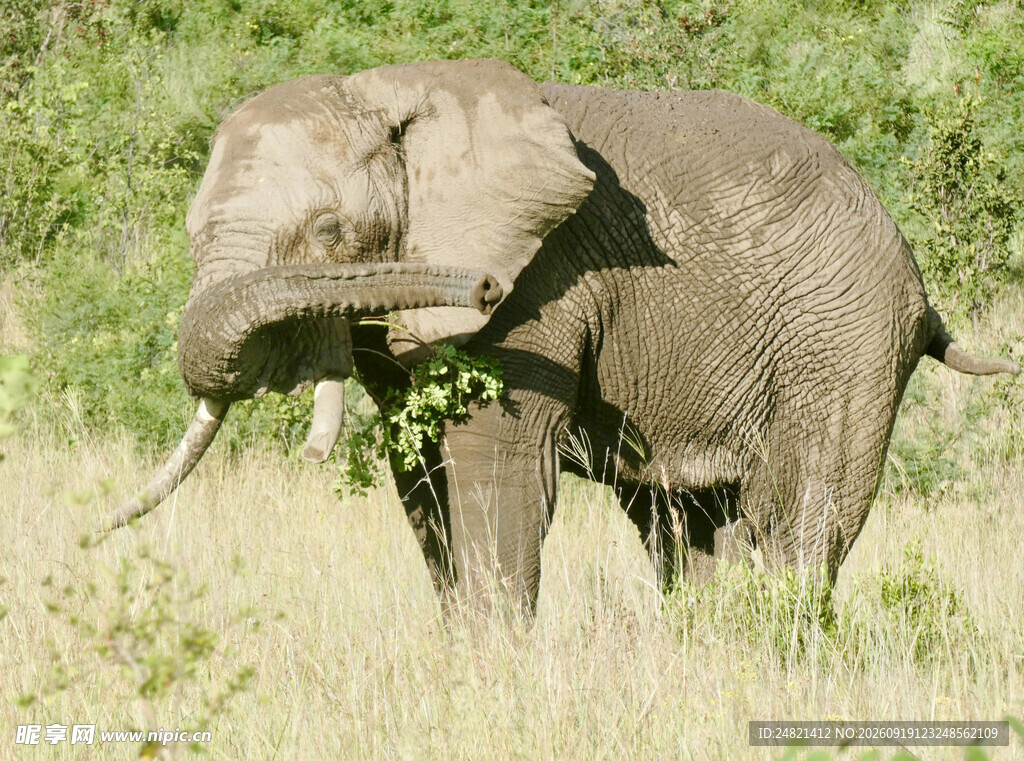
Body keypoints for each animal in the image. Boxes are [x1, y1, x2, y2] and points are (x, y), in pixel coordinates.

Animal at [107, 58, 1019, 614]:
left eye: (330, 231)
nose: (475, 283)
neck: (392, 88)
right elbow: (422, 475)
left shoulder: (542, 280)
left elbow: (494, 463)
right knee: (686, 523)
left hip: (845, 333)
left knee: (798, 517)